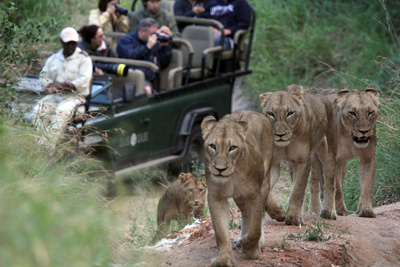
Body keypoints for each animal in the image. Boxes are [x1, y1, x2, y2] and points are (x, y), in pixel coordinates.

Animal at [202, 111, 274, 267]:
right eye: (212, 146)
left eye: (232, 148)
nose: (220, 169)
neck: (233, 175)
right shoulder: (216, 196)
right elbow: (221, 232)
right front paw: (224, 259)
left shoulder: (255, 194)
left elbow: (255, 228)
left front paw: (250, 249)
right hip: (239, 196)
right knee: (246, 214)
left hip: (265, 182)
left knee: (260, 215)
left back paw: (257, 243)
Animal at [260, 85, 338, 226]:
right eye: (271, 114)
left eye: (290, 113)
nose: (280, 135)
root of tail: (323, 97)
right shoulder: (273, 162)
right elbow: (267, 190)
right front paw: (279, 212)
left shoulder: (303, 161)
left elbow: (298, 190)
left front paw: (293, 218)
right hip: (292, 165)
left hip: (329, 152)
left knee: (330, 182)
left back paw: (328, 212)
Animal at [310, 88, 378, 218]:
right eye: (352, 113)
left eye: (370, 112)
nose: (364, 131)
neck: (349, 137)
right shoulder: (334, 159)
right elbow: (337, 187)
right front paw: (338, 209)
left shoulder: (368, 158)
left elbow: (367, 186)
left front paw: (366, 210)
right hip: (315, 158)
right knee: (315, 182)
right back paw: (315, 210)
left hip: (344, 165)